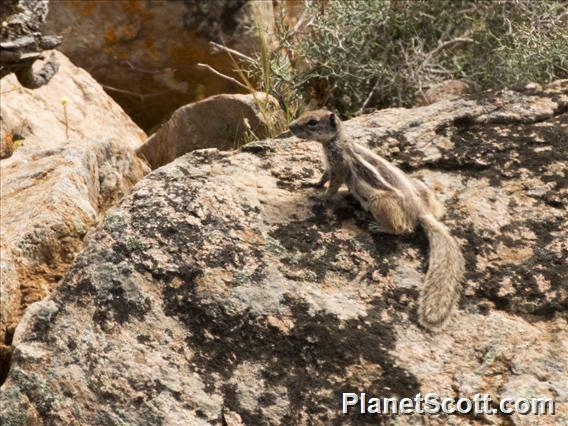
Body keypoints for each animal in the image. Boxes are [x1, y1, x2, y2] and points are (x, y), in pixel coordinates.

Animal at [290, 110, 464, 330]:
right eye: (304, 114)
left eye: (312, 122)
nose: (290, 126)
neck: (336, 141)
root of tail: (420, 211)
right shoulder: (330, 166)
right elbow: (323, 176)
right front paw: (312, 183)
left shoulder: (340, 168)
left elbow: (332, 186)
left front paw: (321, 199)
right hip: (422, 189)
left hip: (380, 202)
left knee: (402, 228)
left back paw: (376, 225)